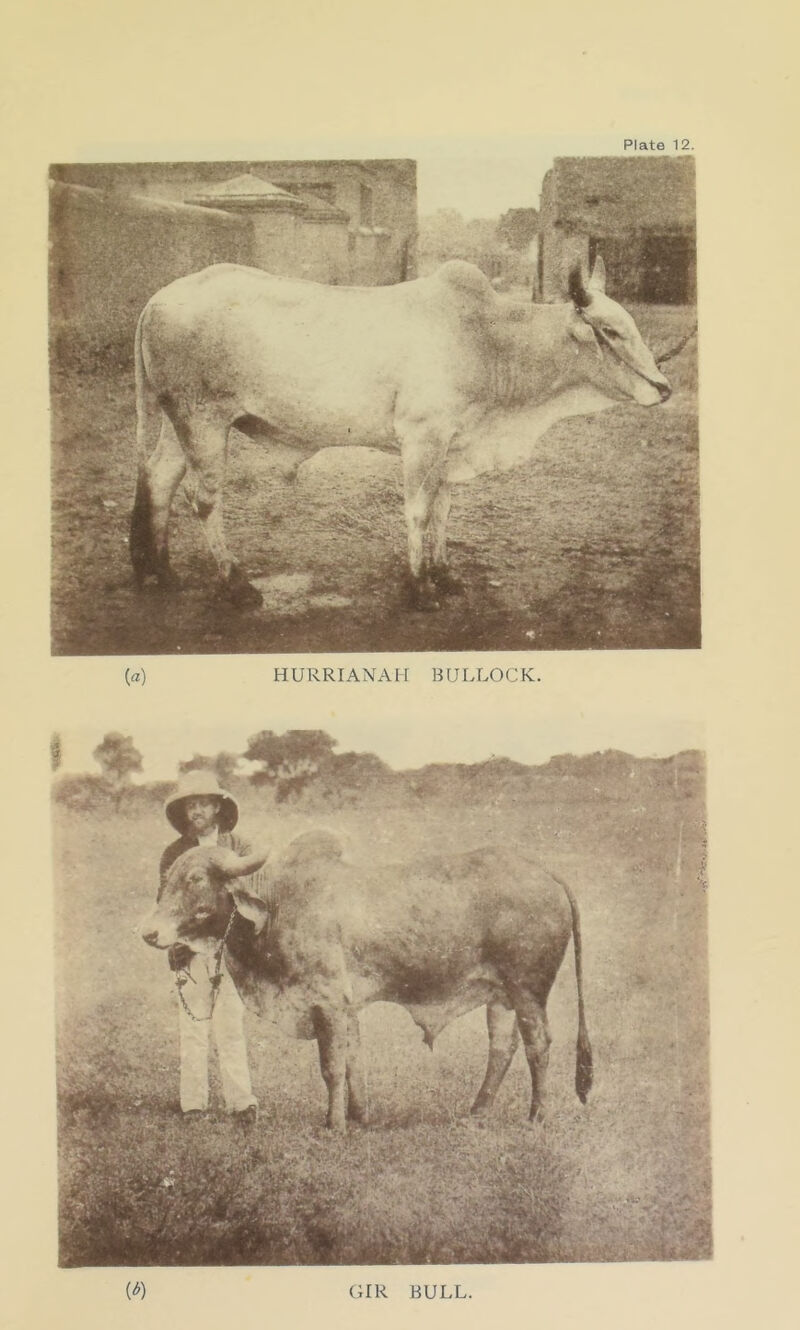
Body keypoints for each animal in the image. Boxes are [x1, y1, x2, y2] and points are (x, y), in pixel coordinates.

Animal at [130, 256, 671, 611]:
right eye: (611, 331)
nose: (664, 387)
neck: (488, 338)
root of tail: (156, 299)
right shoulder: (421, 438)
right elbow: (417, 511)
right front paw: (419, 588)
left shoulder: (453, 444)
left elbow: (443, 511)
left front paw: (444, 574)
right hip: (203, 420)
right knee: (204, 499)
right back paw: (235, 584)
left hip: (181, 423)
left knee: (158, 478)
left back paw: (158, 571)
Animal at [140, 830, 593, 1132]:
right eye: (167, 879)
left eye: (196, 880)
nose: (149, 933)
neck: (279, 903)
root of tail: (543, 871)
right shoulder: (347, 1008)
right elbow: (354, 1060)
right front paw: (360, 1116)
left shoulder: (326, 1002)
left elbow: (331, 1067)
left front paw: (334, 1124)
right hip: (501, 996)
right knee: (502, 1048)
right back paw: (476, 1112)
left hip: (527, 989)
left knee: (538, 1046)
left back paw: (537, 1116)